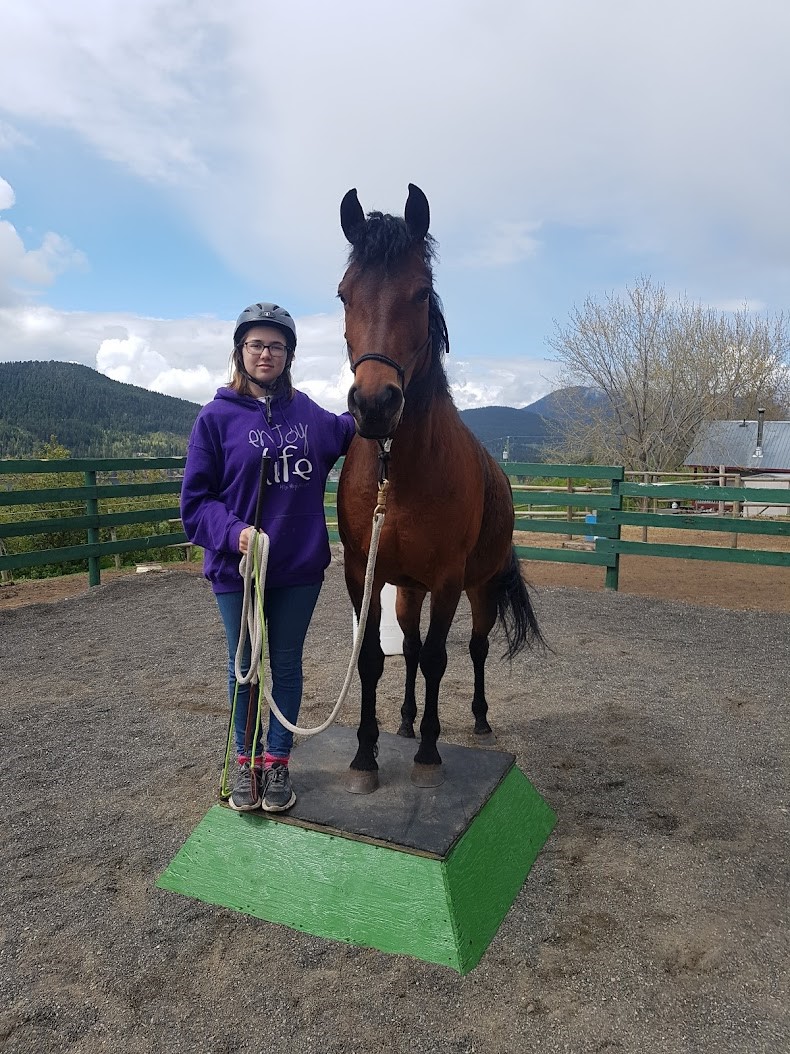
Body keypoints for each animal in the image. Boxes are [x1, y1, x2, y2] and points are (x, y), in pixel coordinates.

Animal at [334, 183, 543, 792]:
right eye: (344, 295)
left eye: (422, 293)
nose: (375, 405)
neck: (400, 473)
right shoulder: (364, 573)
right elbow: (375, 659)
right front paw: (365, 757)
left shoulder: (450, 580)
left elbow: (436, 659)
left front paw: (428, 754)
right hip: (408, 590)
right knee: (407, 645)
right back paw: (404, 720)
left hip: (479, 587)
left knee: (473, 648)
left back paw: (477, 719)